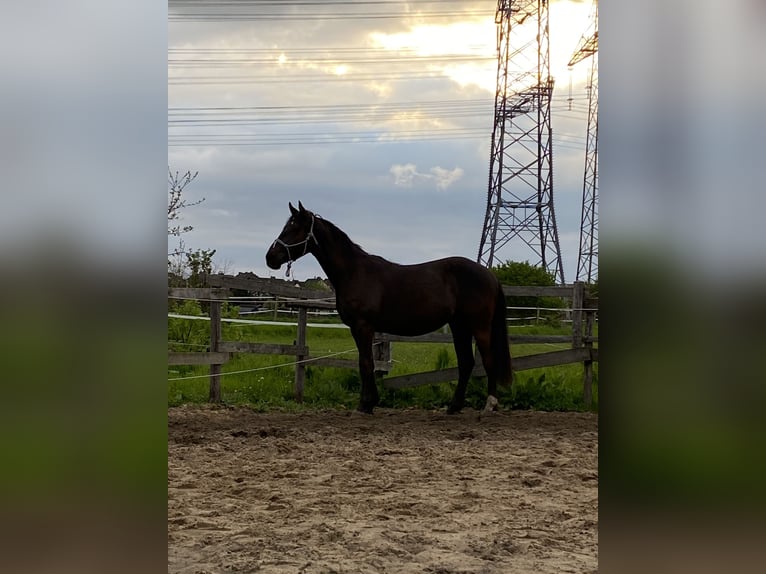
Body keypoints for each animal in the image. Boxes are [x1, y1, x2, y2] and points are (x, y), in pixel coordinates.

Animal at [266, 202, 512, 414]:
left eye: (294, 228)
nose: (270, 257)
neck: (354, 272)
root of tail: (489, 275)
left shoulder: (363, 327)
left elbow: (366, 364)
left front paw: (366, 405)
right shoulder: (360, 329)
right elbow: (366, 364)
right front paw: (369, 403)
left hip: (479, 326)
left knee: (488, 360)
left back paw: (490, 404)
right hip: (459, 326)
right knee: (466, 363)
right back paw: (454, 407)